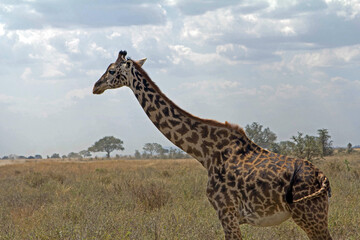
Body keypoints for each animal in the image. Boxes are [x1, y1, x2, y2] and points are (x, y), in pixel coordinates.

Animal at [93, 50, 332, 240]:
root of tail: (322, 178)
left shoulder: (226, 212)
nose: (96, 86)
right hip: (314, 215)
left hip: (309, 215)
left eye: (111, 71)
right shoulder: (230, 215)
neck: (205, 153)